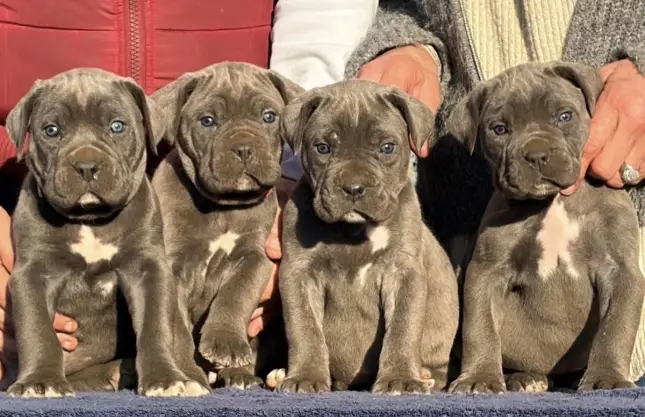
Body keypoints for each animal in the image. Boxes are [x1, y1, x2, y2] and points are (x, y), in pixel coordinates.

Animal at [5, 68, 209, 397]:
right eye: (51, 130)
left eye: (117, 126)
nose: (86, 165)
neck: (91, 220)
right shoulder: (32, 273)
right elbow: (37, 329)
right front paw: (41, 382)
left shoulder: (148, 269)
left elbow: (156, 326)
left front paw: (166, 379)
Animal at [150, 62, 303, 388]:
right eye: (207, 121)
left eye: (269, 116)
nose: (243, 147)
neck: (223, 207)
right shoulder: (172, 265)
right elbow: (176, 328)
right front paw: (188, 374)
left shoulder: (255, 258)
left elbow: (236, 294)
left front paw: (226, 343)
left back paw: (244, 374)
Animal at [273, 80, 460, 394]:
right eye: (323, 148)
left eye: (387, 148)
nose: (354, 187)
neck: (352, 232)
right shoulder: (299, 274)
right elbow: (304, 327)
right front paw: (305, 377)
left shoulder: (403, 272)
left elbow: (403, 328)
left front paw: (400, 378)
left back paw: (425, 375)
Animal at [447, 61, 645, 393]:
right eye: (499, 129)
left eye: (564, 116)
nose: (537, 154)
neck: (552, 201)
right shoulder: (485, 271)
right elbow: (480, 327)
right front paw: (479, 378)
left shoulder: (620, 270)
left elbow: (614, 328)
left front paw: (607, 377)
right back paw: (524, 377)